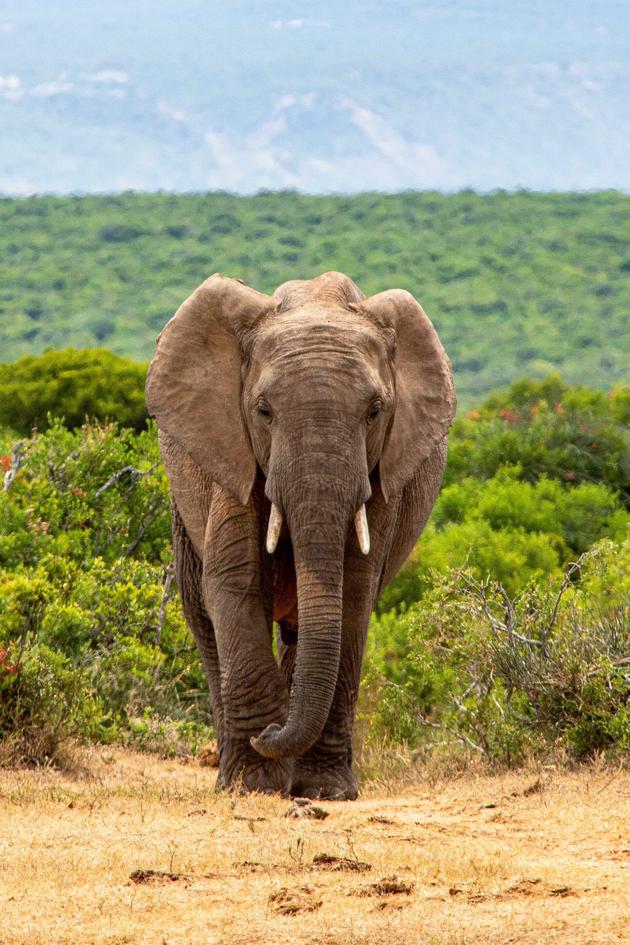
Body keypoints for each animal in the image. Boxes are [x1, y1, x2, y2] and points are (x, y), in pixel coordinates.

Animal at [145, 271, 455, 799]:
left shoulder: (381, 477)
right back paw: (235, 775)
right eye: (263, 410)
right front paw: (256, 783)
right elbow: (235, 582)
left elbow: (353, 592)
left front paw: (325, 791)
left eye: (375, 411)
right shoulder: (234, 456)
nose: (271, 732)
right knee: (202, 614)